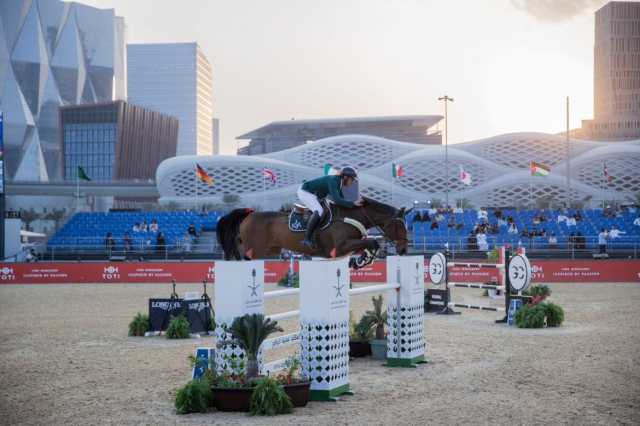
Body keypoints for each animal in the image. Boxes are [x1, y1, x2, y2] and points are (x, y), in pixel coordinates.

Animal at [216, 197, 410, 262]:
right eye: (399, 225)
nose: (403, 250)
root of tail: (249, 214)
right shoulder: (340, 247)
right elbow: (372, 242)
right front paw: (362, 261)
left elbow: (370, 243)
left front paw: (361, 260)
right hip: (255, 249)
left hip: (270, 250)